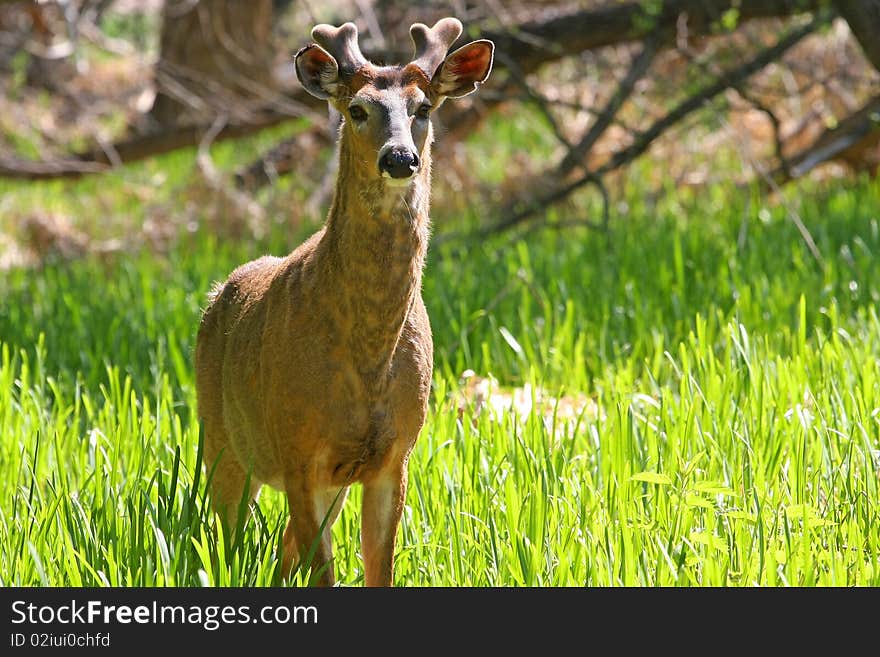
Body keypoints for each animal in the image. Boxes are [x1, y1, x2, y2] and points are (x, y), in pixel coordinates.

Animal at [194, 19, 496, 584]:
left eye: (424, 107)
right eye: (356, 109)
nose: (400, 158)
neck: (369, 356)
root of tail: (218, 294)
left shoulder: (393, 457)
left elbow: (378, 567)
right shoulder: (297, 450)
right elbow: (322, 571)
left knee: (282, 552)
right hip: (221, 439)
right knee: (229, 540)